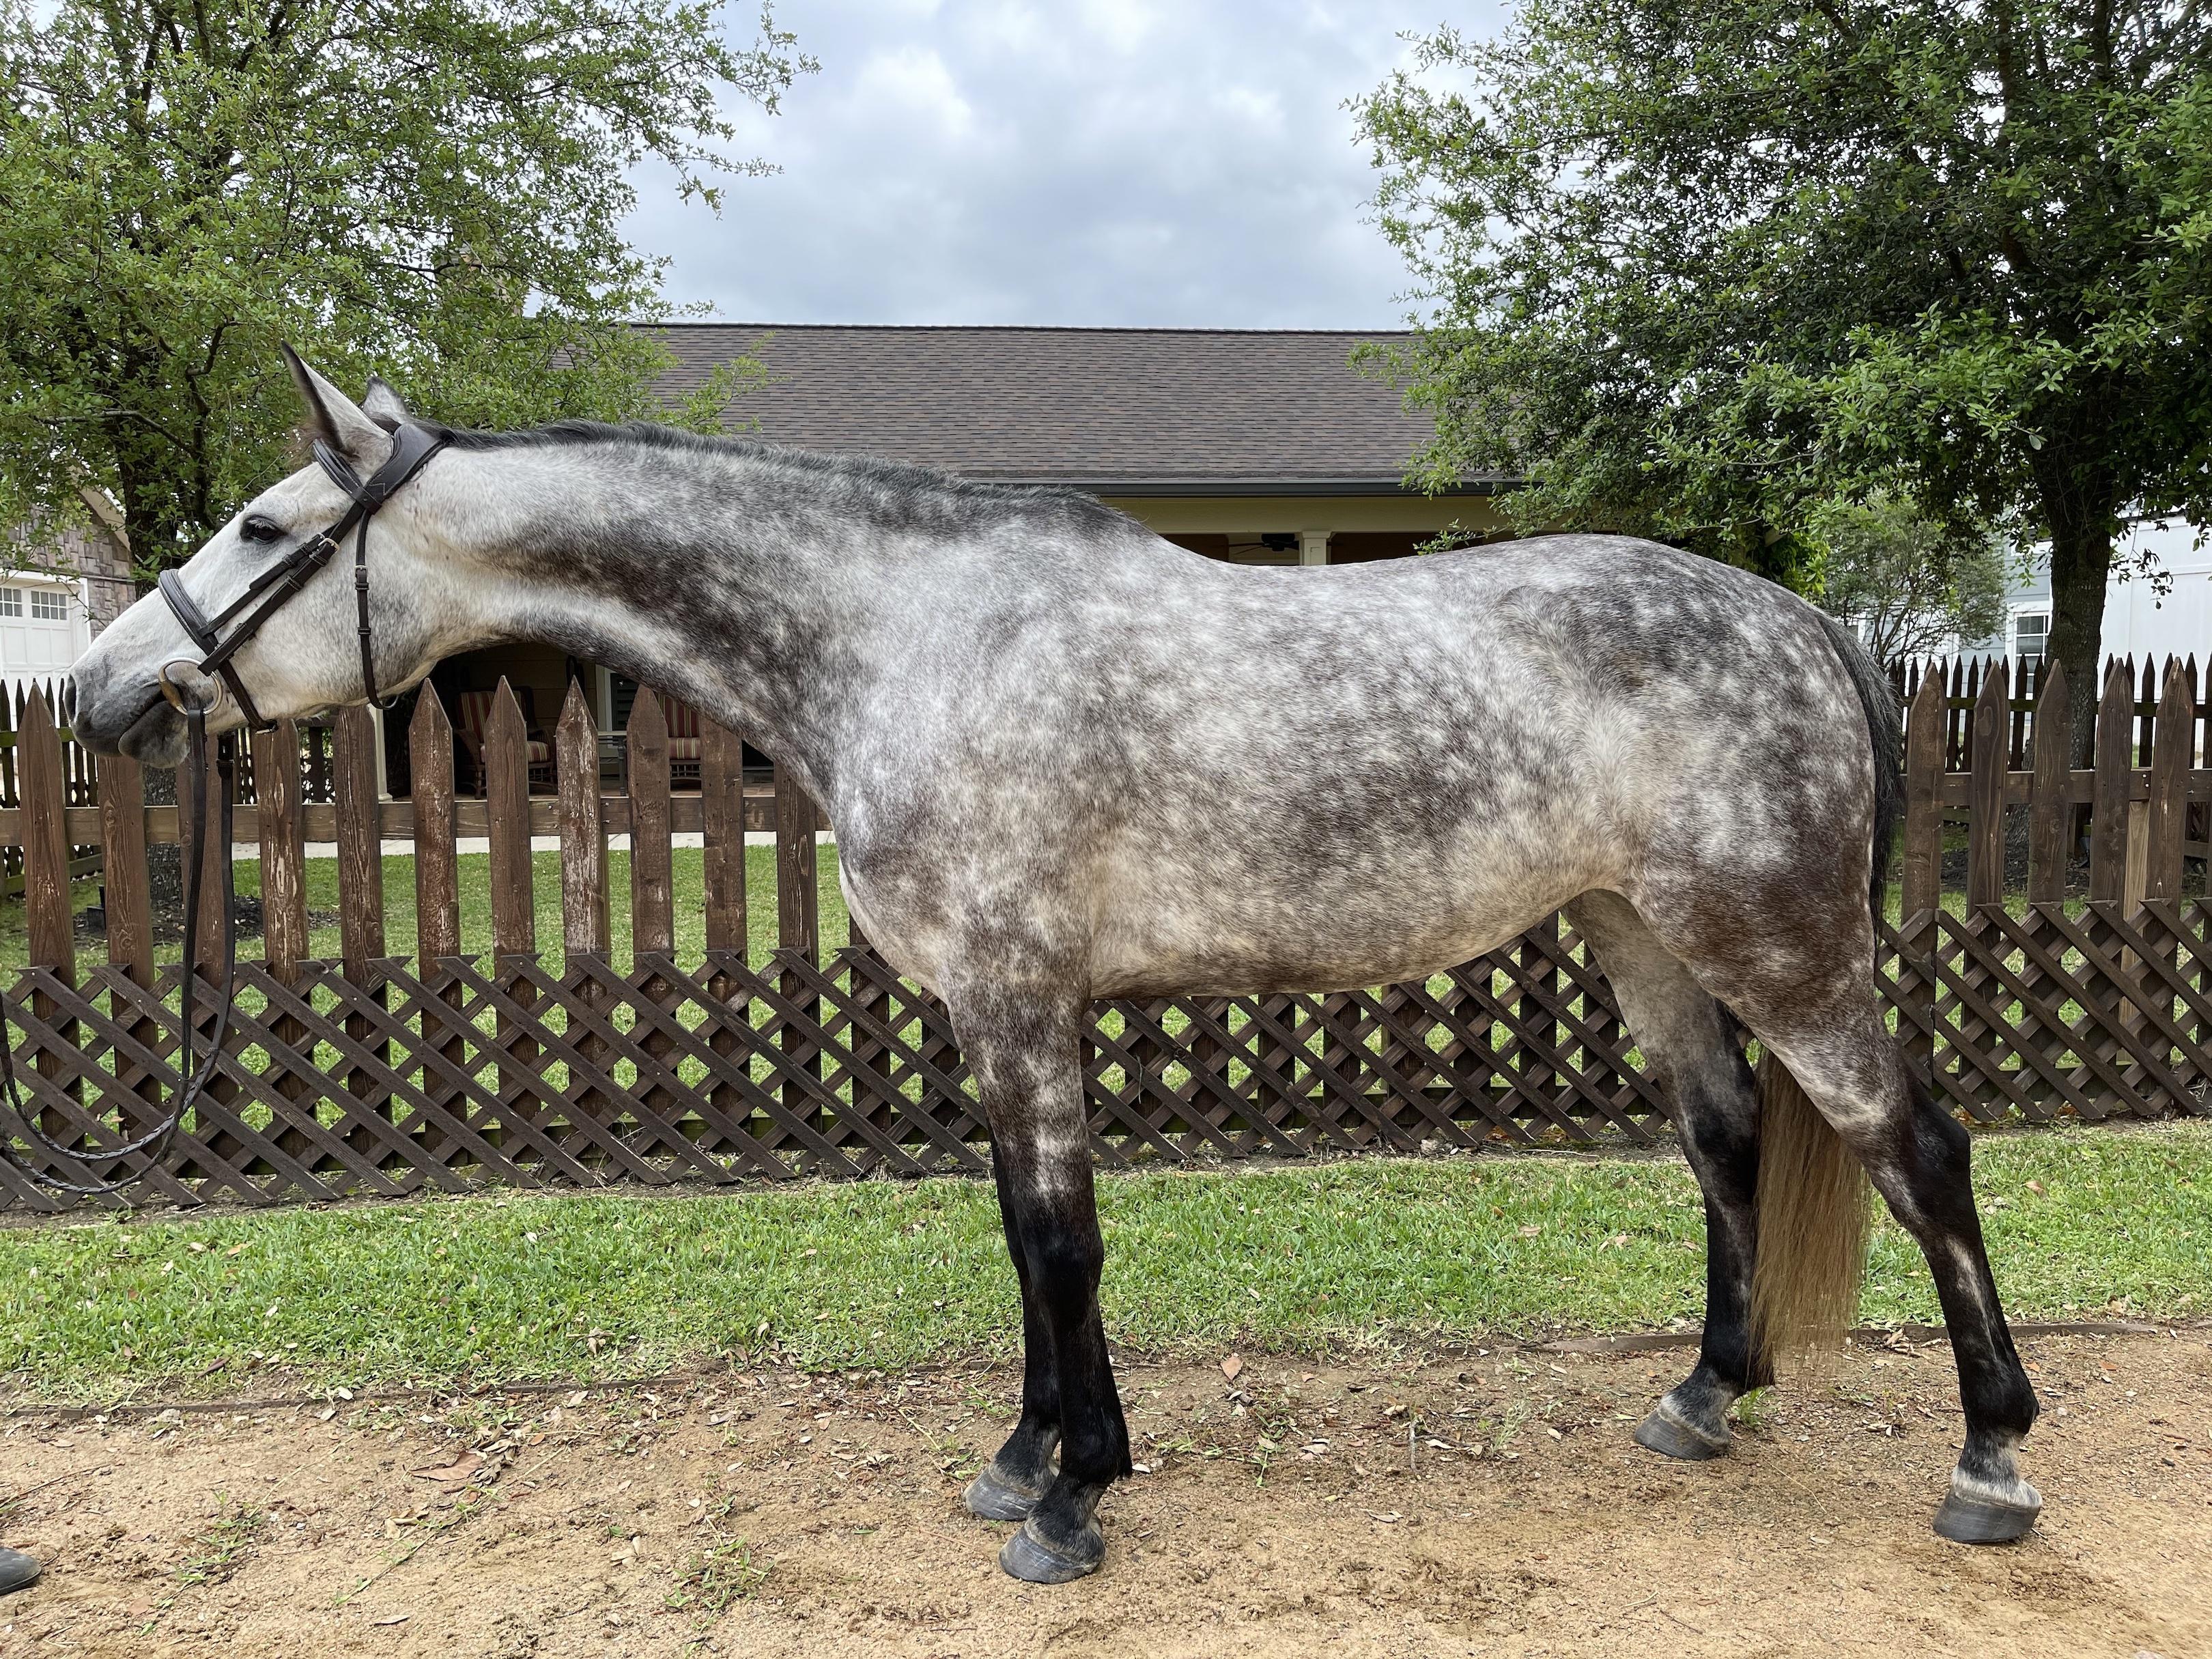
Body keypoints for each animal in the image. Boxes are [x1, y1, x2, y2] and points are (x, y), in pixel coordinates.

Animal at [64, 351, 2042, 1583]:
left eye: (260, 529)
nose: (97, 690)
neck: (906, 638)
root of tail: (1803, 618)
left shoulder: (1023, 999)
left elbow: (1065, 1240)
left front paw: (1073, 1500)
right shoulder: (983, 1011)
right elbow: (1022, 1236)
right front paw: (1023, 1458)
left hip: (1782, 944)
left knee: (1917, 1150)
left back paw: (1992, 1459)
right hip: (1640, 933)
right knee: (1720, 1138)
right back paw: (1704, 1395)